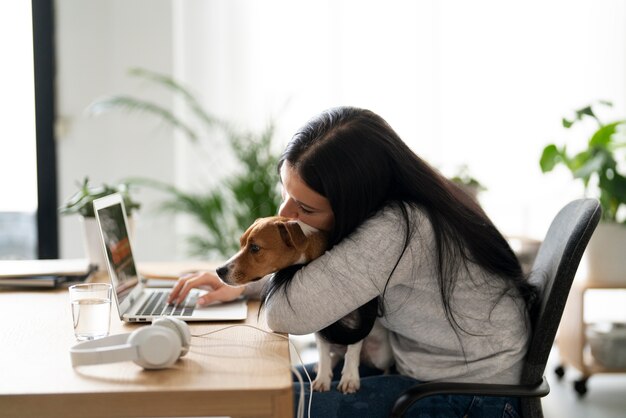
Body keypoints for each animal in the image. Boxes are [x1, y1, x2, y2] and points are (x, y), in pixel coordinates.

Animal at [216, 217, 390, 394]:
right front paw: (322, 378)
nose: (219, 270)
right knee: (334, 354)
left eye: (255, 248)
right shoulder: (320, 327)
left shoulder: (359, 320)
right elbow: (323, 352)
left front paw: (349, 378)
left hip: (381, 356)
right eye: (241, 243)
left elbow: (353, 350)